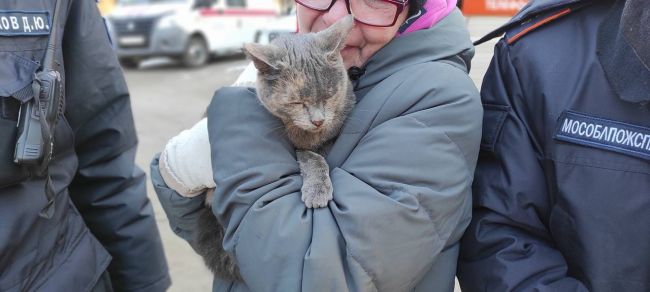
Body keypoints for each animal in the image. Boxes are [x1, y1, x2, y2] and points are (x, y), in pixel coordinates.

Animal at [194, 15, 354, 280]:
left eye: (329, 96)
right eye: (297, 102)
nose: (318, 120)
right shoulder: (296, 147)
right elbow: (311, 157)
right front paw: (317, 190)